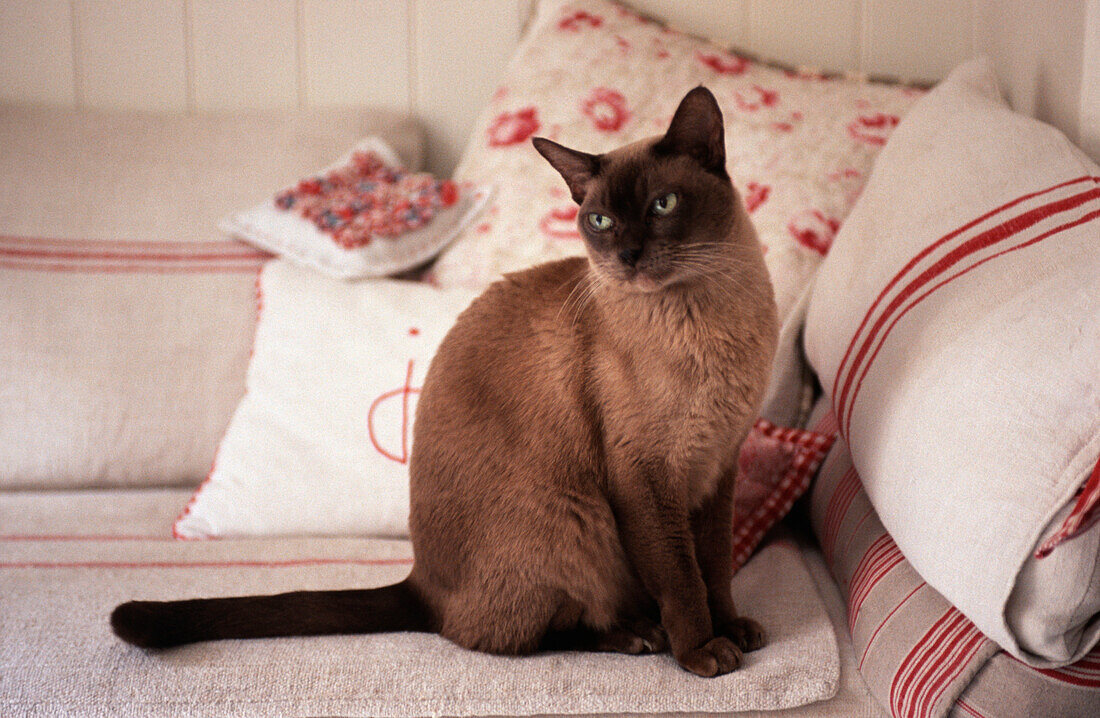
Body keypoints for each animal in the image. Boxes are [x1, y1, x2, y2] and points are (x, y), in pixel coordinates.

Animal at [109, 85, 783, 677]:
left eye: (662, 206)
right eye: (599, 220)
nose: (628, 257)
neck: (709, 315)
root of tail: (421, 583)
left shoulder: (717, 466)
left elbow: (714, 567)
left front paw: (734, 629)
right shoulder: (647, 476)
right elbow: (682, 580)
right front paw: (704, 654)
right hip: (572, 518)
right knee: (524, 633)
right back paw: (641, 635)